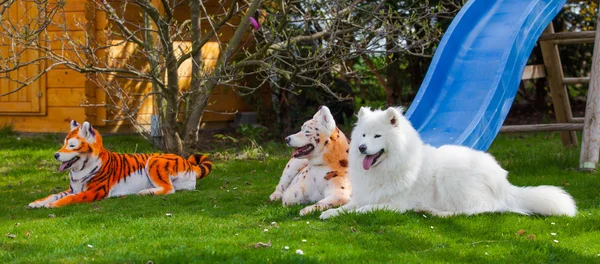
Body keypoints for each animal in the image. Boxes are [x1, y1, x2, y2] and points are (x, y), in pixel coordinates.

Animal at [28, 120, 212, 208]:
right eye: (64, 143)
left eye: (72, 145)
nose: (55, 155)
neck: (78, 171)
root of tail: (189, 163)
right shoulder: (73, 188)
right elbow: (54, 194)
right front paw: (37, 203)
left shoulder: (94, 192)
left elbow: (69, 199)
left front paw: (51, 205)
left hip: (154, 161)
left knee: (170, 189)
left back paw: (145, 192)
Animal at [318, 106, 576, 220]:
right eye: (363, 135)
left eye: (377, 136)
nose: (361, 148)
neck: (386, 168)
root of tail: (503, 183)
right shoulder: (366, 195)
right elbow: (348, 207)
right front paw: (329, 213)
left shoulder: (394, 204)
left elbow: (364, 209)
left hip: (452, 178)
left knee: (479, 209)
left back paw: (434, 212)